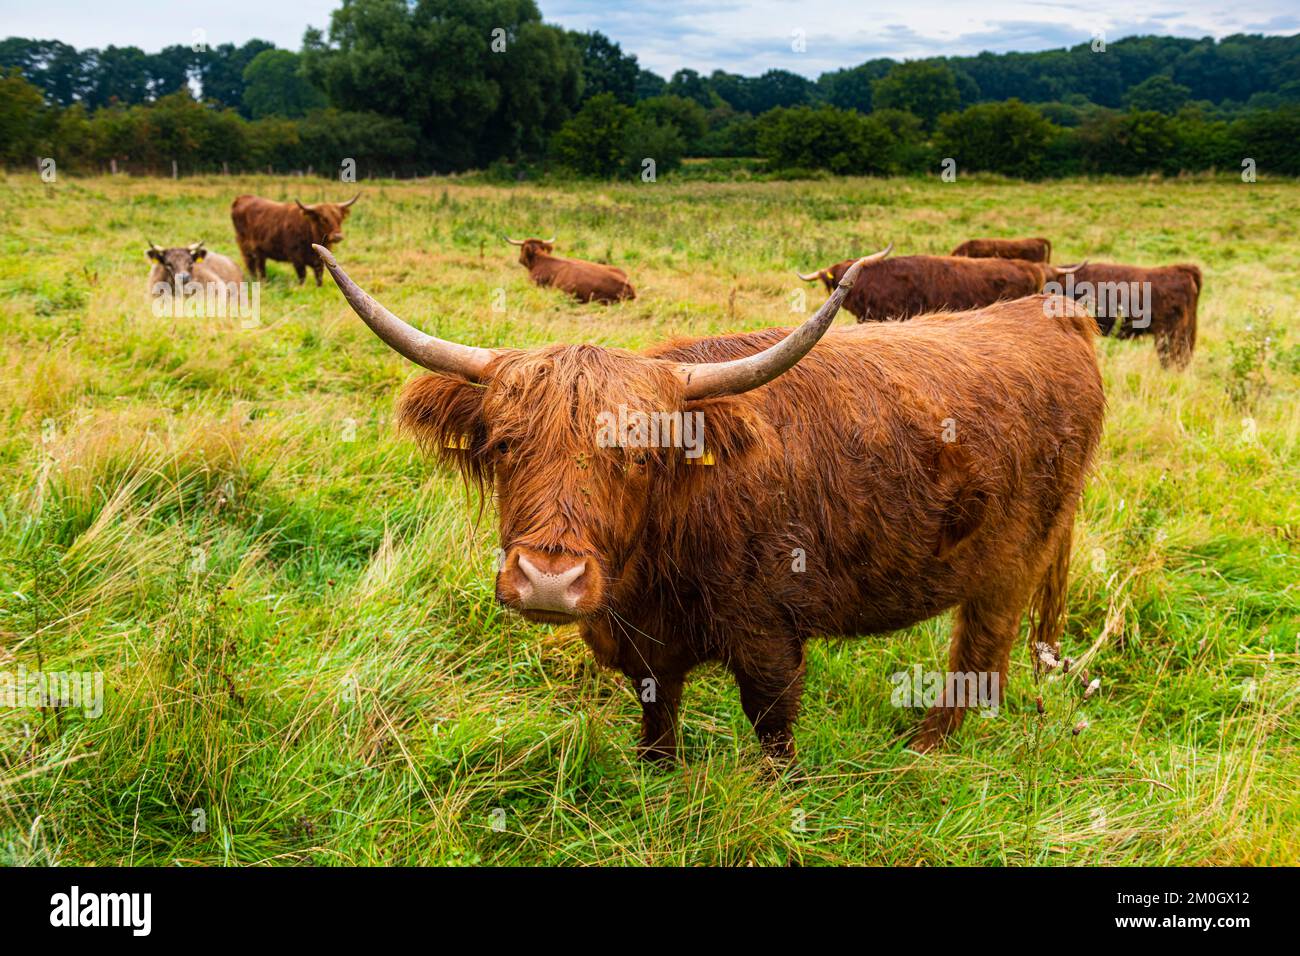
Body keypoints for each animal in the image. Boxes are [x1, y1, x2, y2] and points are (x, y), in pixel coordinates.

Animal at [317, 243, 1107, 764]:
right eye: (507, 445)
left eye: (639, 455)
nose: (548, 580)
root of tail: (1046, 312)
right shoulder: (641, 642)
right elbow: (656, 713)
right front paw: (656, 777)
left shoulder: (769, 636)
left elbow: (773, 729)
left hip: (1009, 565)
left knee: (979, 657)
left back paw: (924, 751)